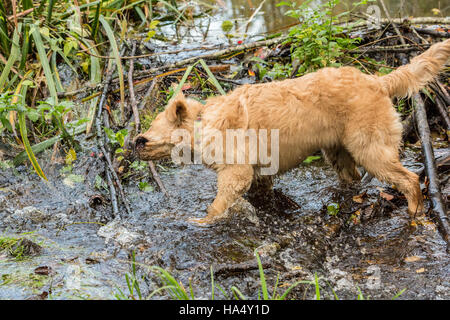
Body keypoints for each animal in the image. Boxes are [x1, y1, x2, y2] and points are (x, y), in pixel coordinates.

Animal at [134, 39, 450, 225]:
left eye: (146, 134)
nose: (134, 143)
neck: (203, 122)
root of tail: (378, 81)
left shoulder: (236, 172)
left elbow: (219, 203)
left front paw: (200, 222)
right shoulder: (259, 172)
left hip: (370, 148)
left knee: (409, 179)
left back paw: (414, 211)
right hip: (337, 150)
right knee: (351, 176)